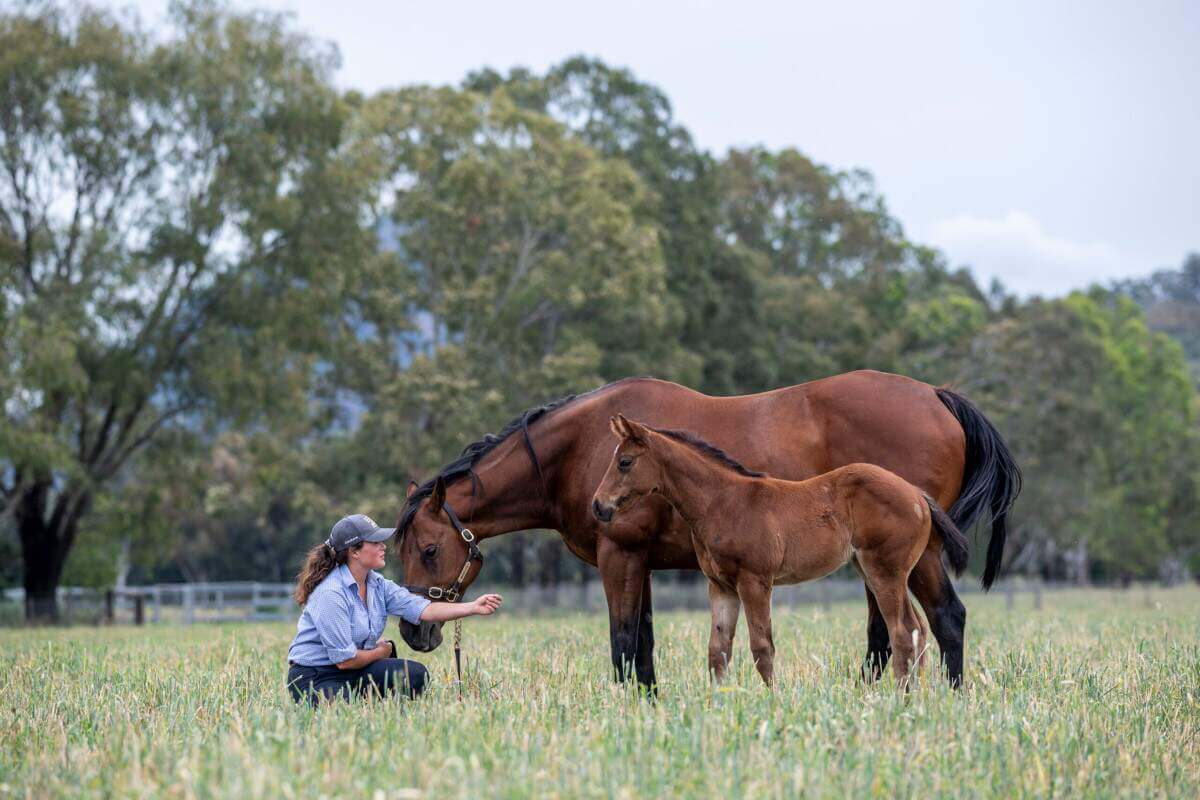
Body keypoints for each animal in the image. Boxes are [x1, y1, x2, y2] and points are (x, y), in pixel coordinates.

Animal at [595, 417, 969, 686]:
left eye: (625, 462)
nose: (599, 506)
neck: (723, 502)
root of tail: (916, 493)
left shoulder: (755, 581)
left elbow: (762, 647)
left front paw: (774, 700)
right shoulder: (720, 586)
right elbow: (718, 651)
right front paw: (716, 706)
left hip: (885, 571)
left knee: (903, 632)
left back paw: (900, 698)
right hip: (880, 570)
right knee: (916, 628)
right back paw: (914, 695)